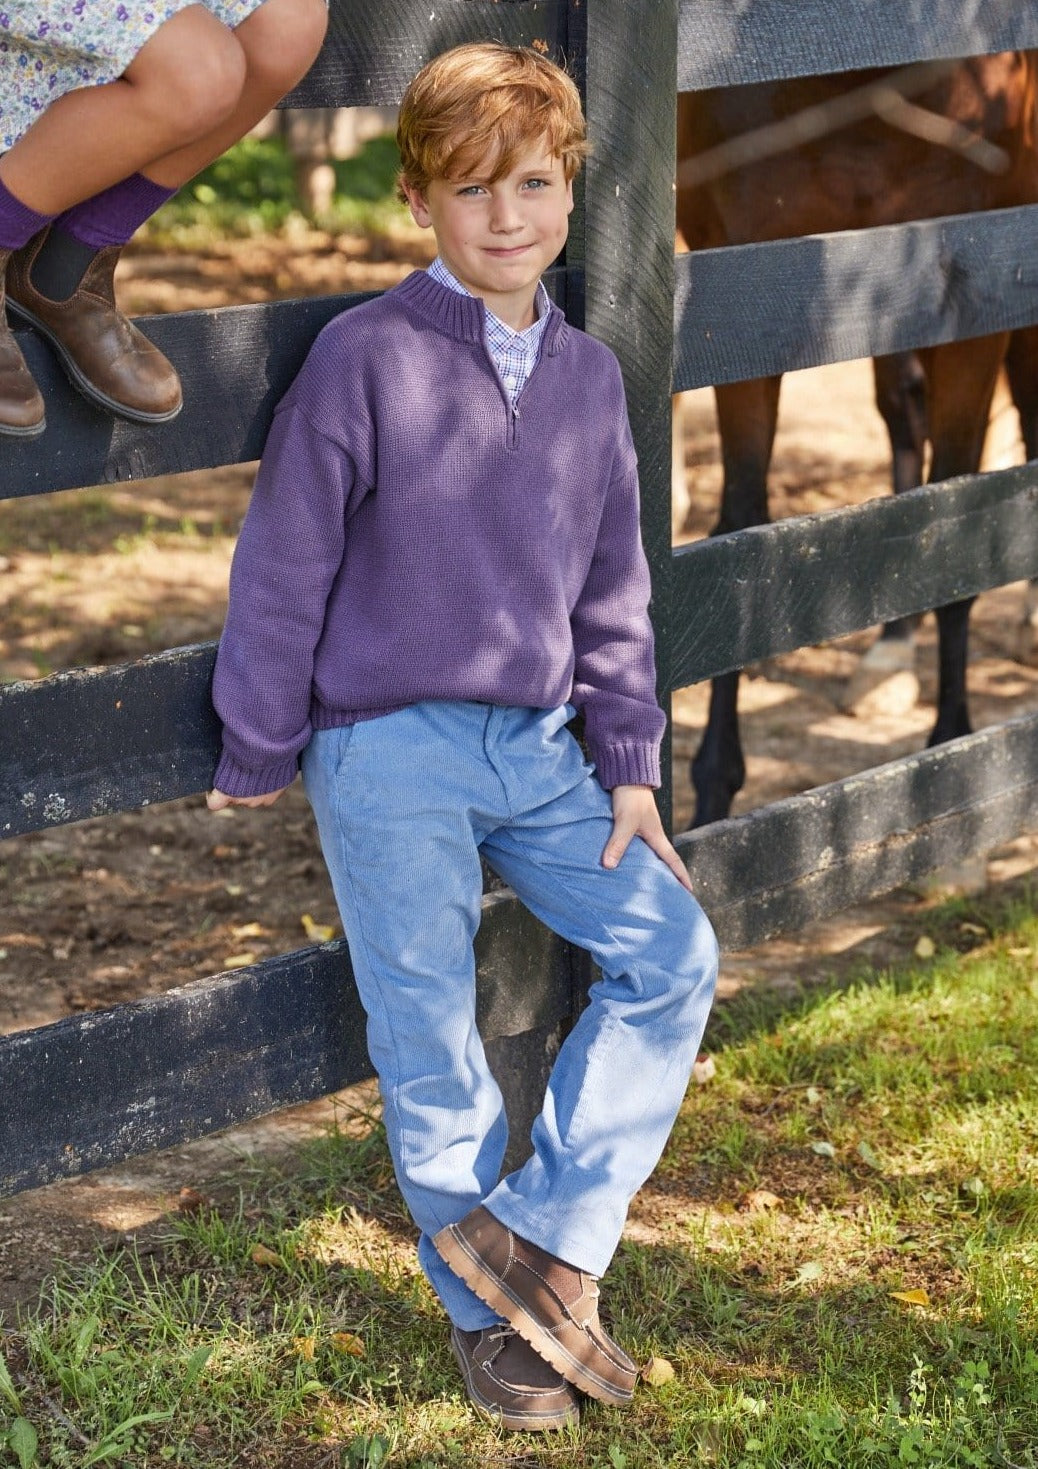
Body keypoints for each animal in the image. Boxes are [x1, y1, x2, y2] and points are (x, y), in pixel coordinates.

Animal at [675, 54, 1038, 828]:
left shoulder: (978, 305)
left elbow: (958, 535)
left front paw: (951, 762)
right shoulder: (742, 303)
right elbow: (738, 534)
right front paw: (713, 793)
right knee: (905, 418)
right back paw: (890, 651)